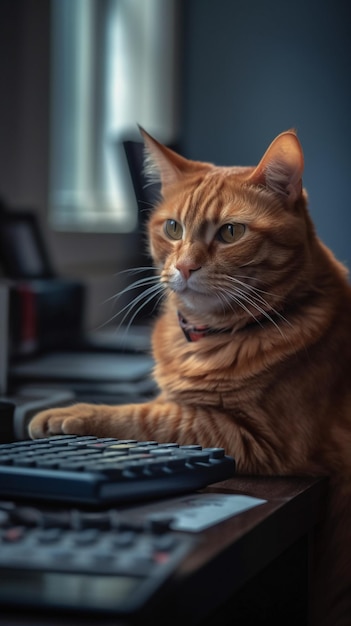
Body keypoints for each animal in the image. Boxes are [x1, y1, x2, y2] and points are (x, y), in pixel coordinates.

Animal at [30, 129, 351, 620]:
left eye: (231, 232)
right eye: (173, 229)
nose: (183, 267)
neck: (206, 337)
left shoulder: (260, 438)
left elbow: (147, 415)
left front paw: (67, 412)